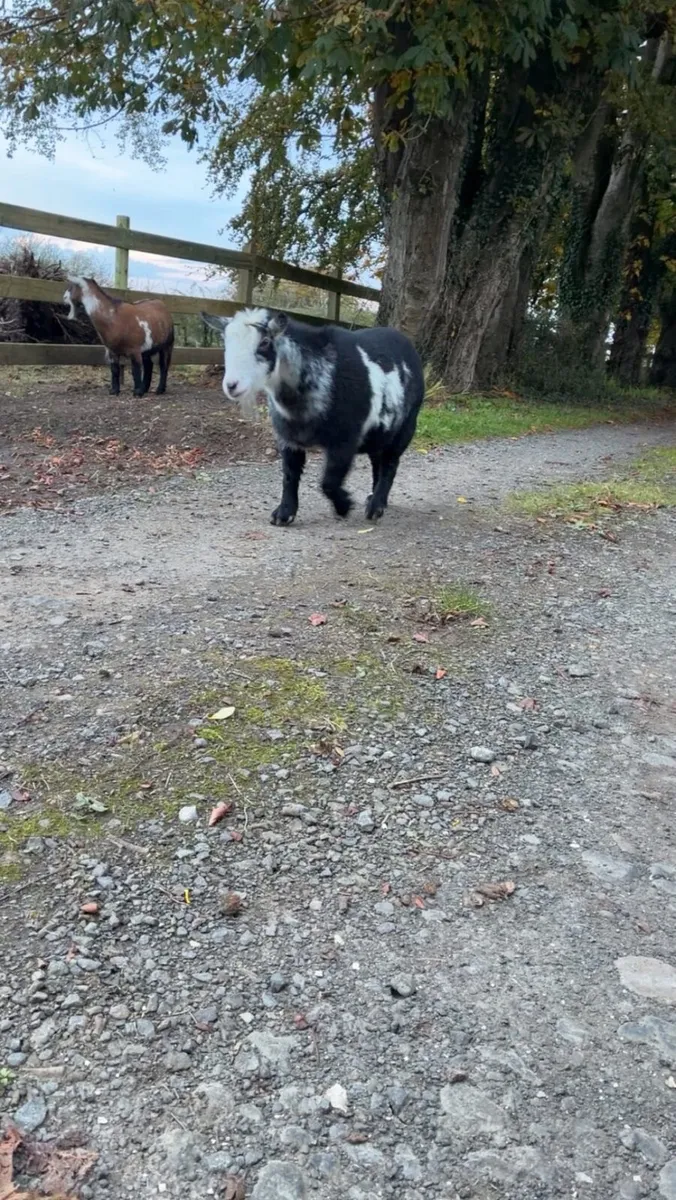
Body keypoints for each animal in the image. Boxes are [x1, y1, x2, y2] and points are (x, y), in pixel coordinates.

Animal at [201, 307, 424, 524]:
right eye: (225, 342)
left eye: (264, 342)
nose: (232, 385)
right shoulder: (288, 437)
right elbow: (290, 475)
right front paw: (283, 514)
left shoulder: (345, 439)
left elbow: (329, 481)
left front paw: (344, 506)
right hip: (381, 432)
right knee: (377, 460)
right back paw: (374, 499)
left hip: (407, 424)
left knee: (390, 463)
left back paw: (376, 507)